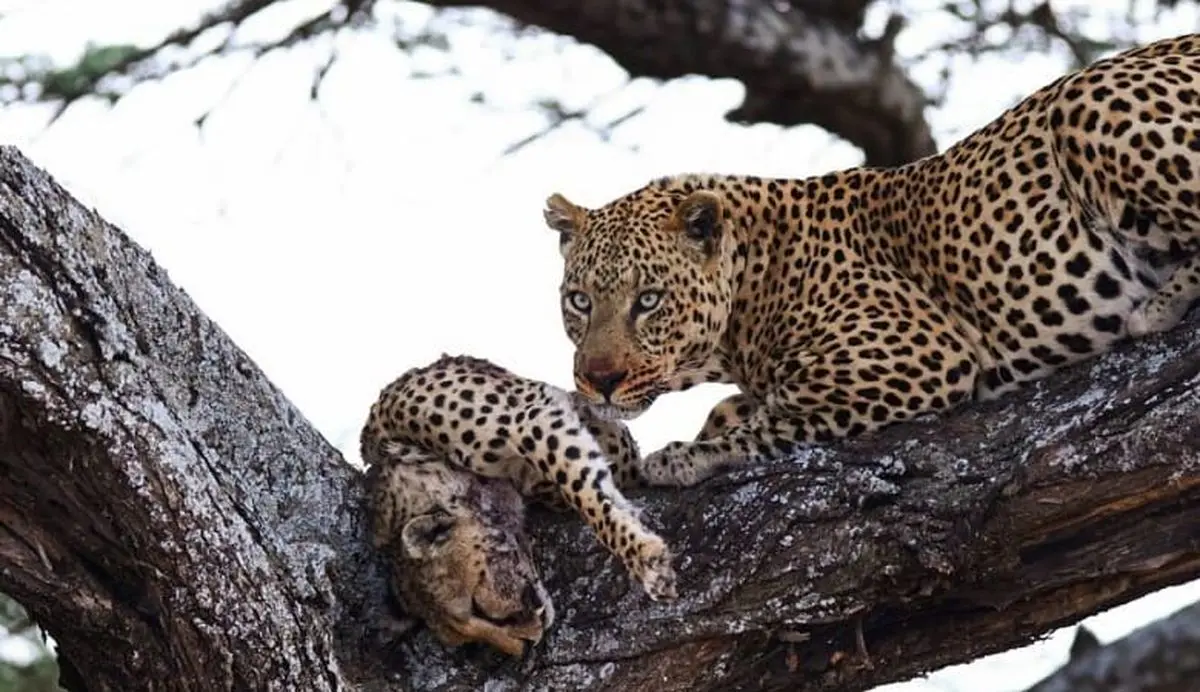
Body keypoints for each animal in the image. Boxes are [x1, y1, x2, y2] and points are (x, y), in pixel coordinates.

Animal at [547, 33, 1200, 484]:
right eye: (579, 301)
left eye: (648, 300)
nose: (598, 381)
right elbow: (739, 407)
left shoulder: (916, 352)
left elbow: (780, 414)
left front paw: (683, 456)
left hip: (1084, 101)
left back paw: (1157, 305)